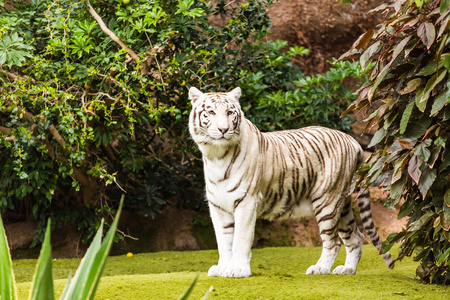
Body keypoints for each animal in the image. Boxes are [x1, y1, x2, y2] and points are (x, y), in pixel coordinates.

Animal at [188, 85, 392, 278]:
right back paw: (347, 269)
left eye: (230, 112)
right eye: (211, 112)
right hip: (342, 205)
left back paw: (321, 268)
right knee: (356, 237)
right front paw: (222, 268)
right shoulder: (218, 206)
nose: (223, 129)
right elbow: (223, 242)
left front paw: (238, 270)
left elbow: (240, 240)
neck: (217, 156)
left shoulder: (246, 203)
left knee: (333, 242)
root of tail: (353, 141)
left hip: (327, 201)